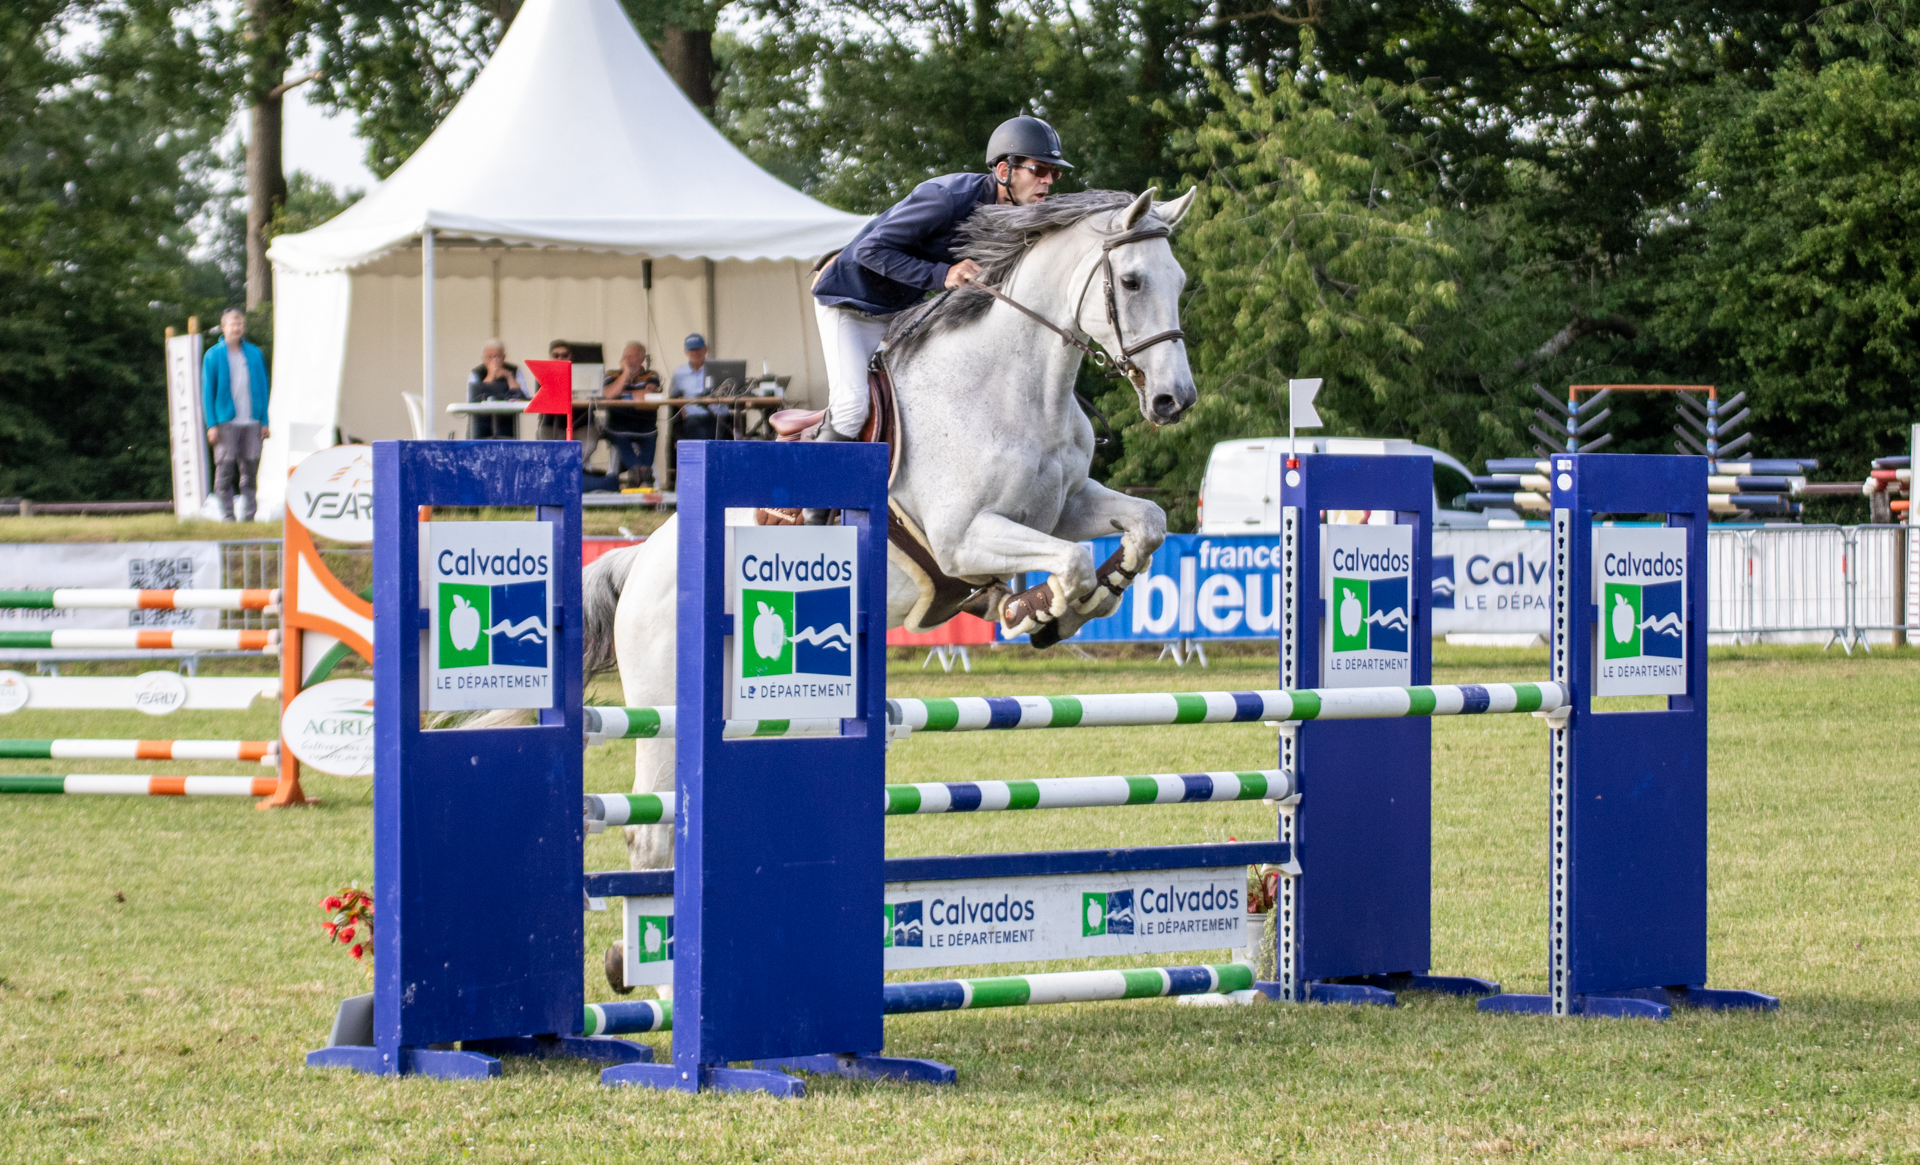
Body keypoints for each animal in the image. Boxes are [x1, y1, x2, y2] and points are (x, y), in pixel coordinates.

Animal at [581, 186, 1198, 880]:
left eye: (1180, 282)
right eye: (1131, 280)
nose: (1174, 400)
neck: (1013, 387)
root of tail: (638, 561)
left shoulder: (1066, 505)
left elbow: (1146, 525)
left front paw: (1091, 599)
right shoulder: (963, 536)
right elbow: (1070, 561)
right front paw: (1034, 609)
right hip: (664, 708)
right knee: (650, 833)